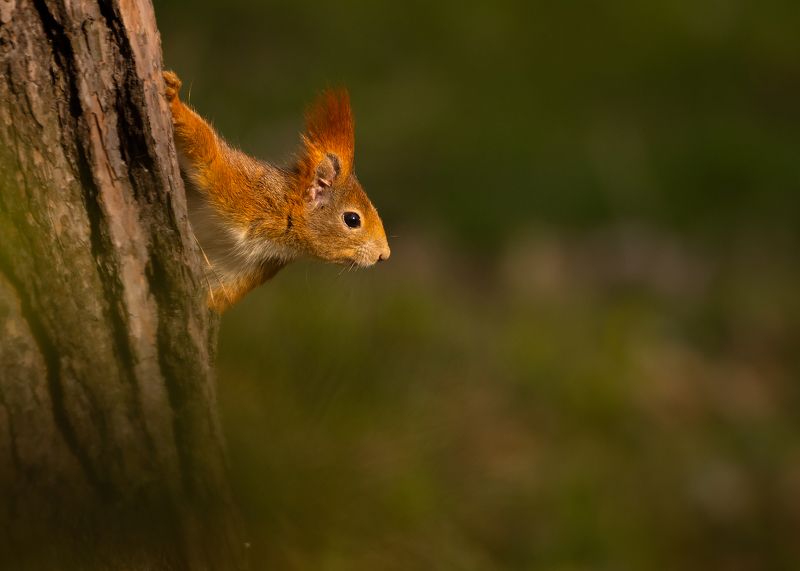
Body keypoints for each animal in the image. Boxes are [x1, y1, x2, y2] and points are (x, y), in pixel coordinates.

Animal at [162, 71, 390, 312]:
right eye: (352, 219)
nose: (384, 254)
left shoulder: (240, 272)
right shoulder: (240, 186)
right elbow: (207, 150)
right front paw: (174, 101)